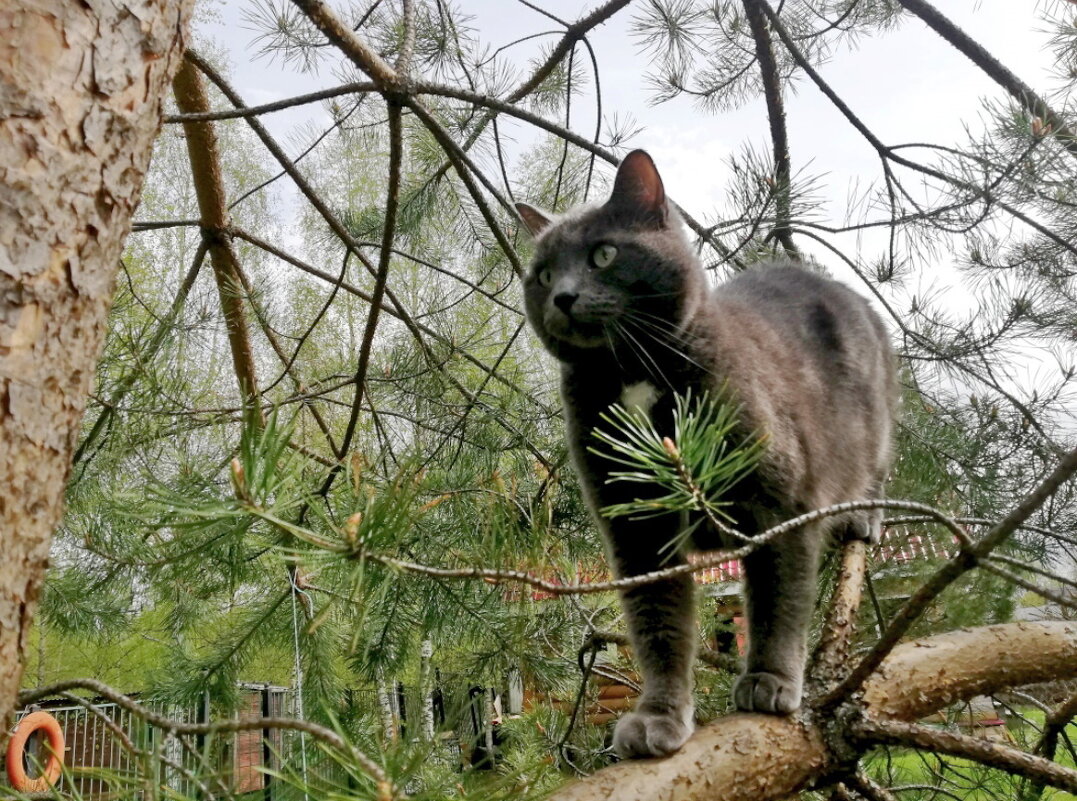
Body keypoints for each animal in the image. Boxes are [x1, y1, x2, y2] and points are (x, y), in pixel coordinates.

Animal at [516, 152, 896, 762]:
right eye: (544, 274)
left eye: (604, 254)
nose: (563, 297)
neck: (631, 372)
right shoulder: (634, 523)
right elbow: (658, 622)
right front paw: (659, 716)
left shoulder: (778, 499)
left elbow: (777, 597)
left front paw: (769, 680)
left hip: (874, 420)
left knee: (877, 466)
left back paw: (863, 517)